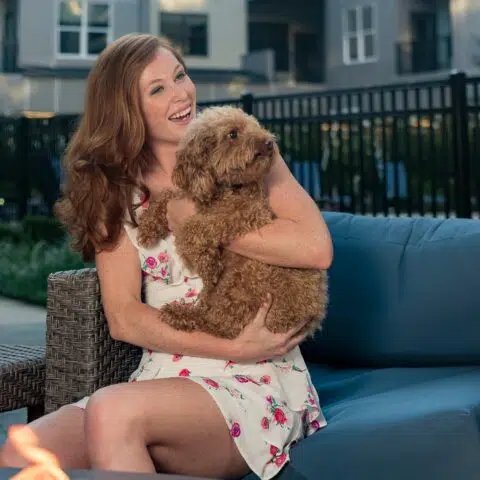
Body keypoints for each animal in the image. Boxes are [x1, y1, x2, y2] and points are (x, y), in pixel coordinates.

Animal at [137, 106, 328, 338]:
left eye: (255, 126)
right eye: (233, 134)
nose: (269, 142)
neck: (225, 189)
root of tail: (313, 317)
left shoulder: (249, 214)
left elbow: (197, 226)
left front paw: (207, 264)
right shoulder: (193, 193)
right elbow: (166, 195)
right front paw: (148, 228)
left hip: (250, 277)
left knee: (222, 326)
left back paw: (180, 314)